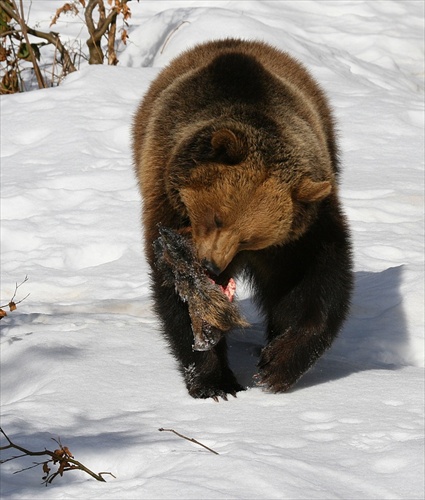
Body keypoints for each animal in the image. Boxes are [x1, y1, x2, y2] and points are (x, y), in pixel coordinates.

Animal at [132, 38, 352, 398]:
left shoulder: (299, 233)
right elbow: (175, 290)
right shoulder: (166, 204)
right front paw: (213, 380)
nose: (211, 266)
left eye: (251, 237)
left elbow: (314, 280)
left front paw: (276, 365)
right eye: (216, 217)